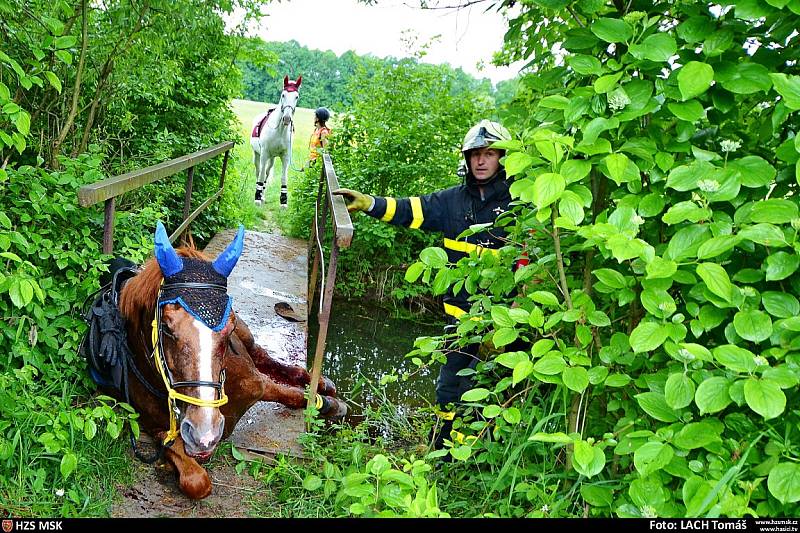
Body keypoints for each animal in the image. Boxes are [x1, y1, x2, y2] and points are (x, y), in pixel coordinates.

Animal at [248, 75, 302, 206]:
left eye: (296, 97)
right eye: (283, 95)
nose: (287, 118)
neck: (279, 131)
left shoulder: (285, 156)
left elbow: (283, 177)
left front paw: (283, 201)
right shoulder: (264, 154)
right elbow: (261, 174)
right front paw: (257, 198)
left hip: (272, 158)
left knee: (267, 173)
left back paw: (263, 195)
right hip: (257, 155)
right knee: (259, 172)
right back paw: (259, 194)